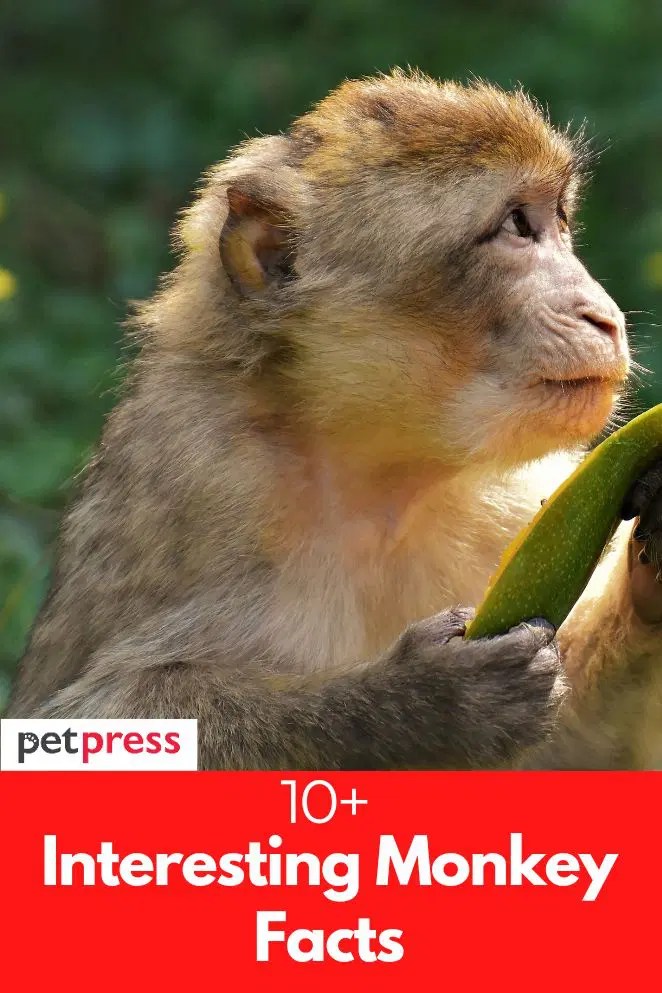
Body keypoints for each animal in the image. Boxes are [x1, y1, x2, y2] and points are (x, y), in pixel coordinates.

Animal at [6, 70, 662, 769]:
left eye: (557, 219)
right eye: (517, 224)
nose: (604, 316)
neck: (380, 478)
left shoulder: (516, 495)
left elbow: (571, 754)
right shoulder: (196, 474)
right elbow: (93, 711)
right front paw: (423, 702)